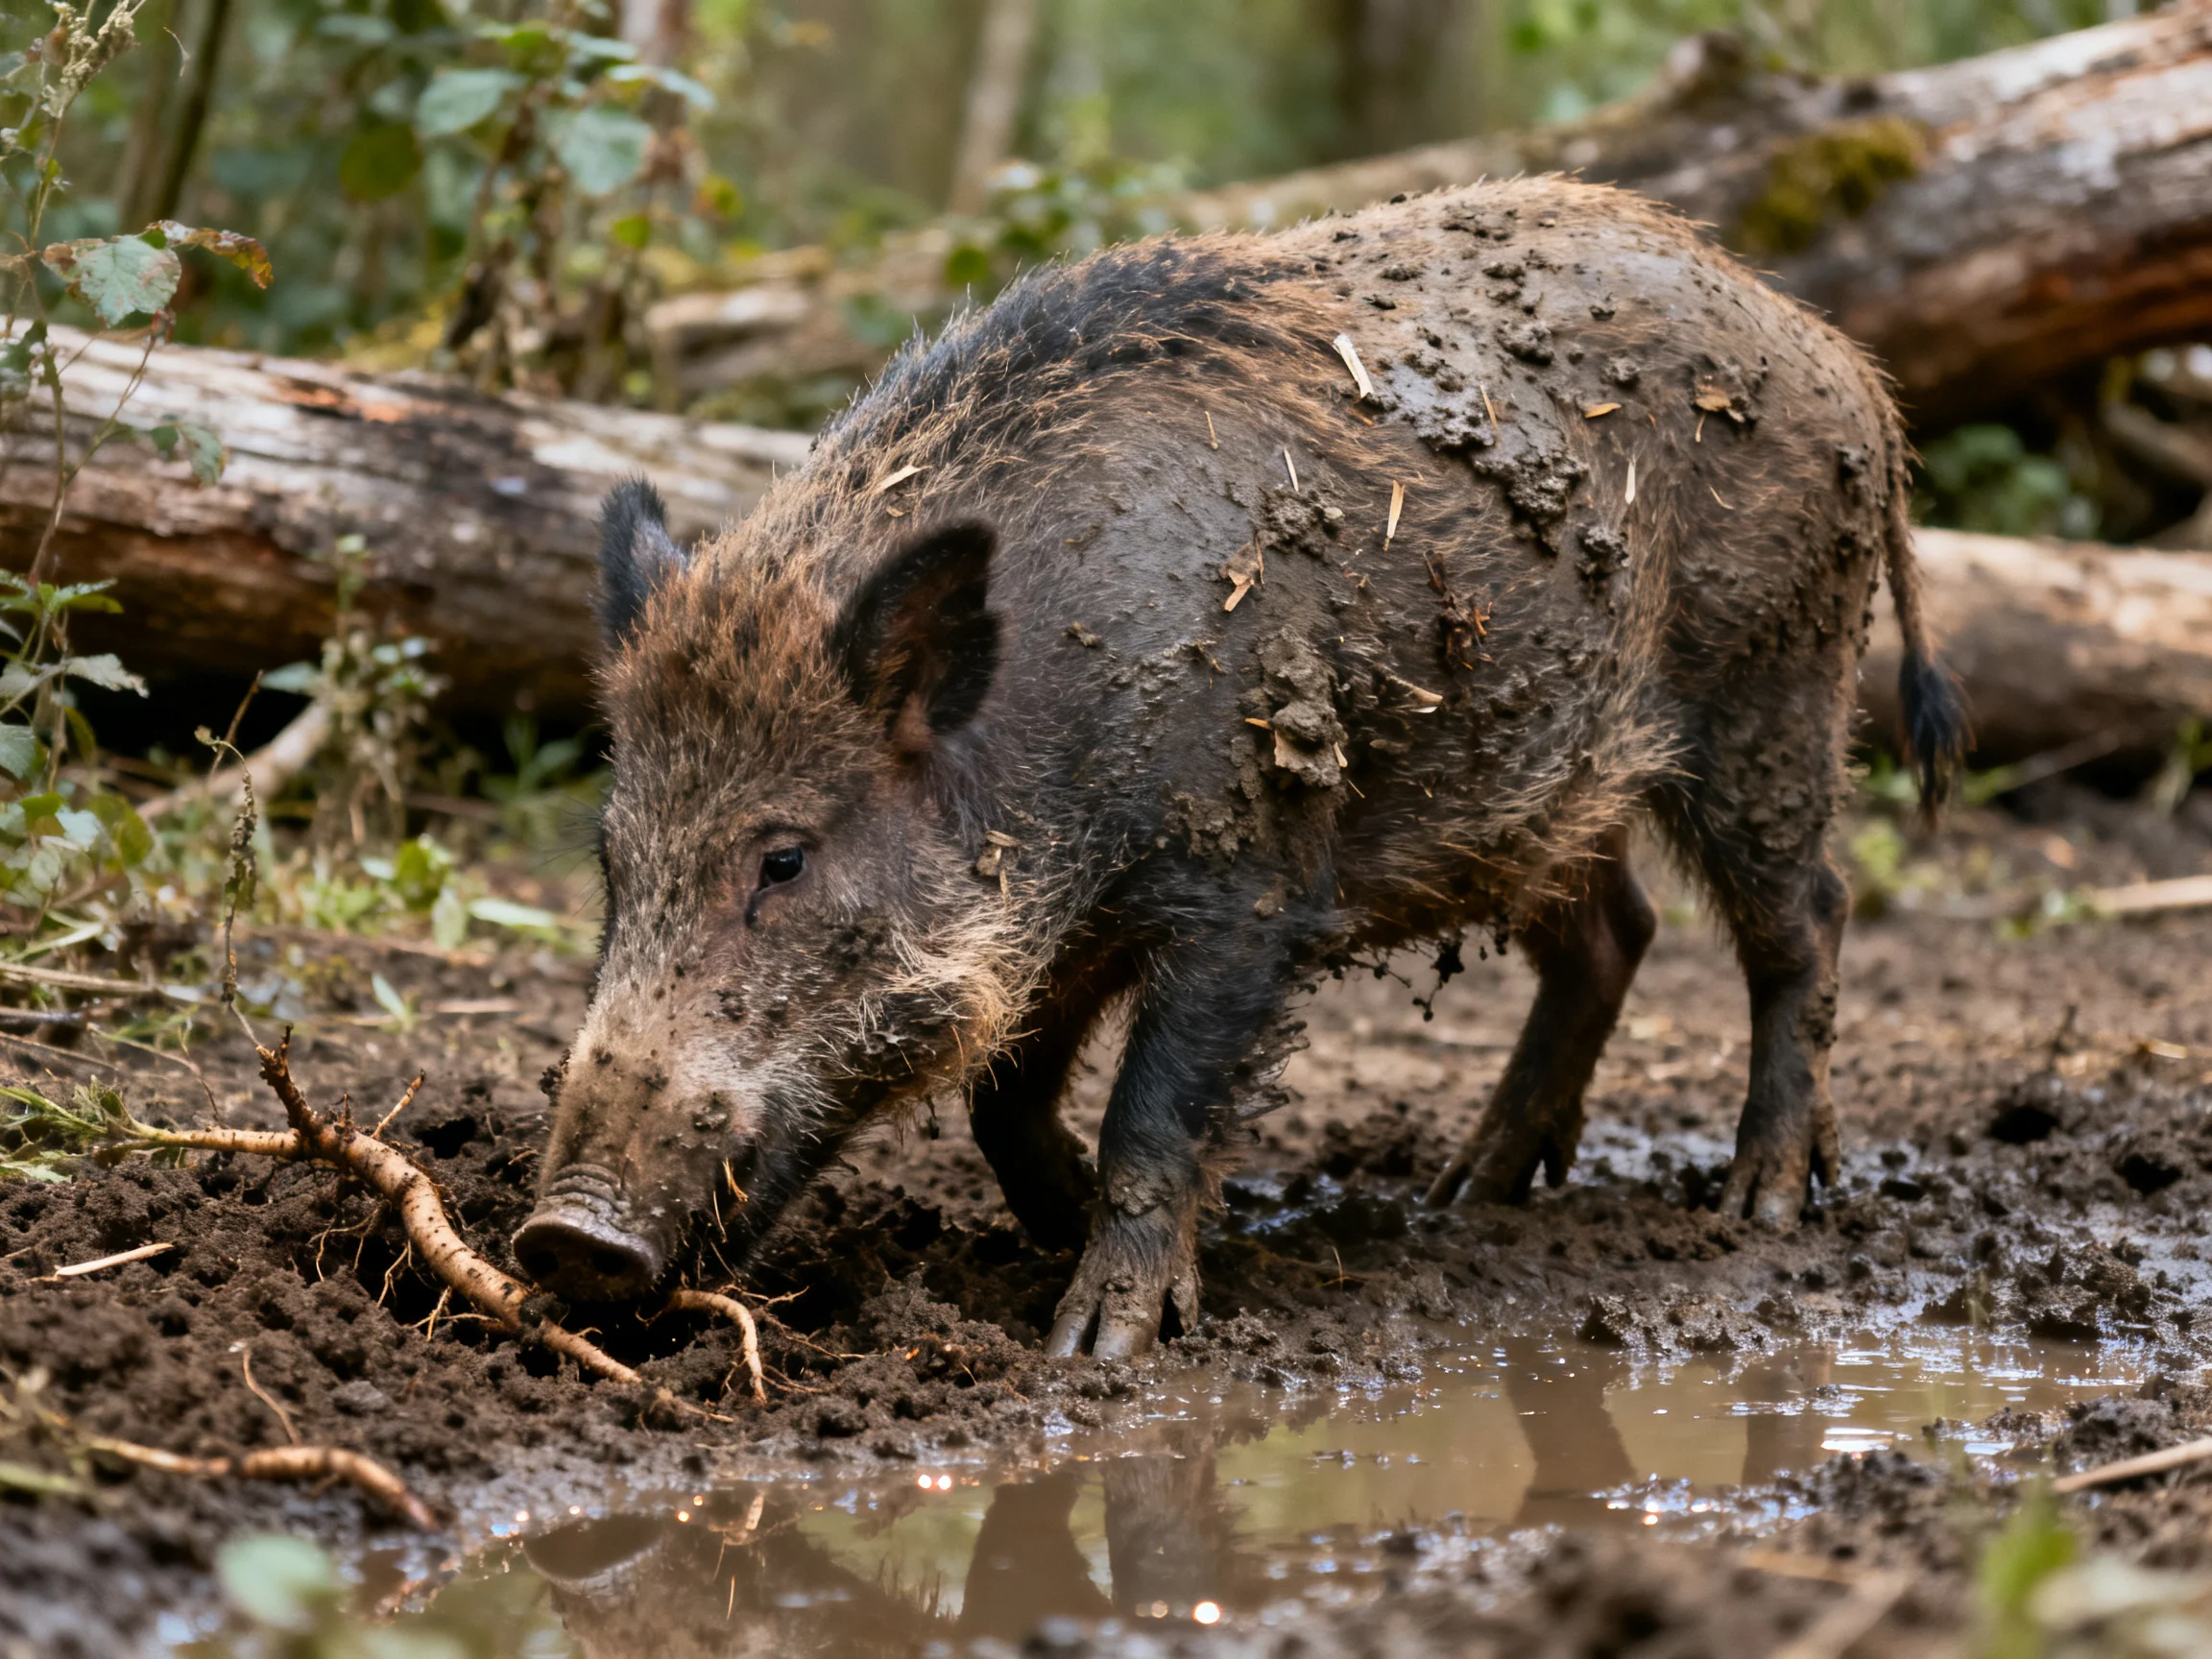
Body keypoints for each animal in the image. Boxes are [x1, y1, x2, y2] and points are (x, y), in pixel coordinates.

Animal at [512, 177, 1963, 1358]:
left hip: (1774, 686)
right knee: (1616, 931)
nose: (564, 1243)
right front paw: (1061, 1239)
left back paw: (1757, 1204)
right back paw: (1461, 1196)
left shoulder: (1243, 888)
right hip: (1551, 777)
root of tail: (1849, 366)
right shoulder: (1064, 927)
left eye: (784, 857)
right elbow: (1007, 1103)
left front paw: (1098, 1343)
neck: (1048, 738)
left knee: (1804, 919)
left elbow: (1150, 1113)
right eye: (612, 861)